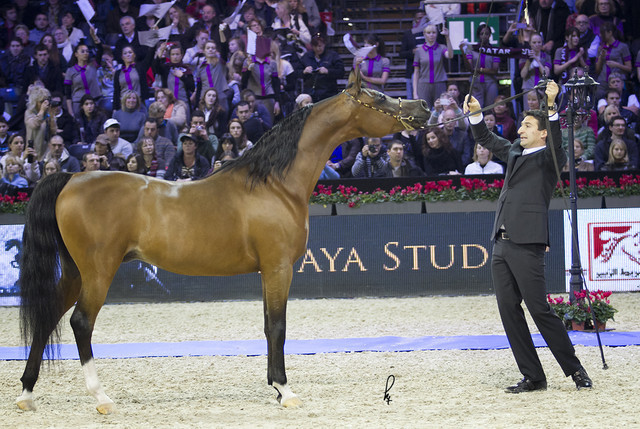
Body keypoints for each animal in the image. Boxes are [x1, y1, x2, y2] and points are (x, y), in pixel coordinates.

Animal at [17, 70, 430, 414]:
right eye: (379, 97)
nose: (424, 107)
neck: (274, 185)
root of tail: (70, 179)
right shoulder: (279, 267)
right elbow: (278, 326)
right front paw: (286, 390)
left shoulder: (268, 271)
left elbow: (267, 325)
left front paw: (274, 386)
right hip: (98, 271)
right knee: (80, 322)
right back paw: (101, 398)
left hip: (76, 272)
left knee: (47, 317)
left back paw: (26, 393)